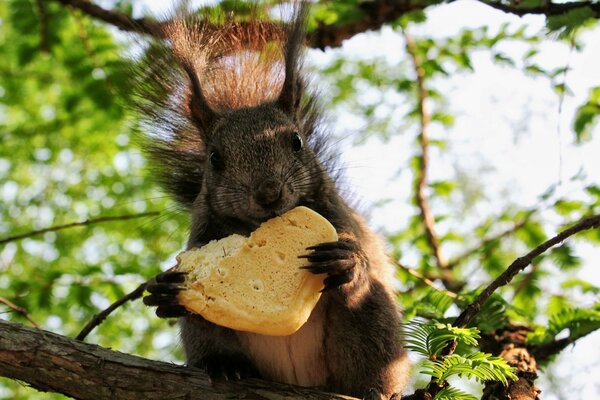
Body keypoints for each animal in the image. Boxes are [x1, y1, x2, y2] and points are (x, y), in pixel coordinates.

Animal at [139, 3, 412, 400]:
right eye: (214, 159)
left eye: (296, 142)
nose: (268, 193)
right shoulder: (202, 233)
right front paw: (164, 291)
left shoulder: (338, 216)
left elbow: (359, 254)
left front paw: (346, 259)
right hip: (207, 334)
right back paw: (225, 365)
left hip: (372, 325)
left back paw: (376, 388)